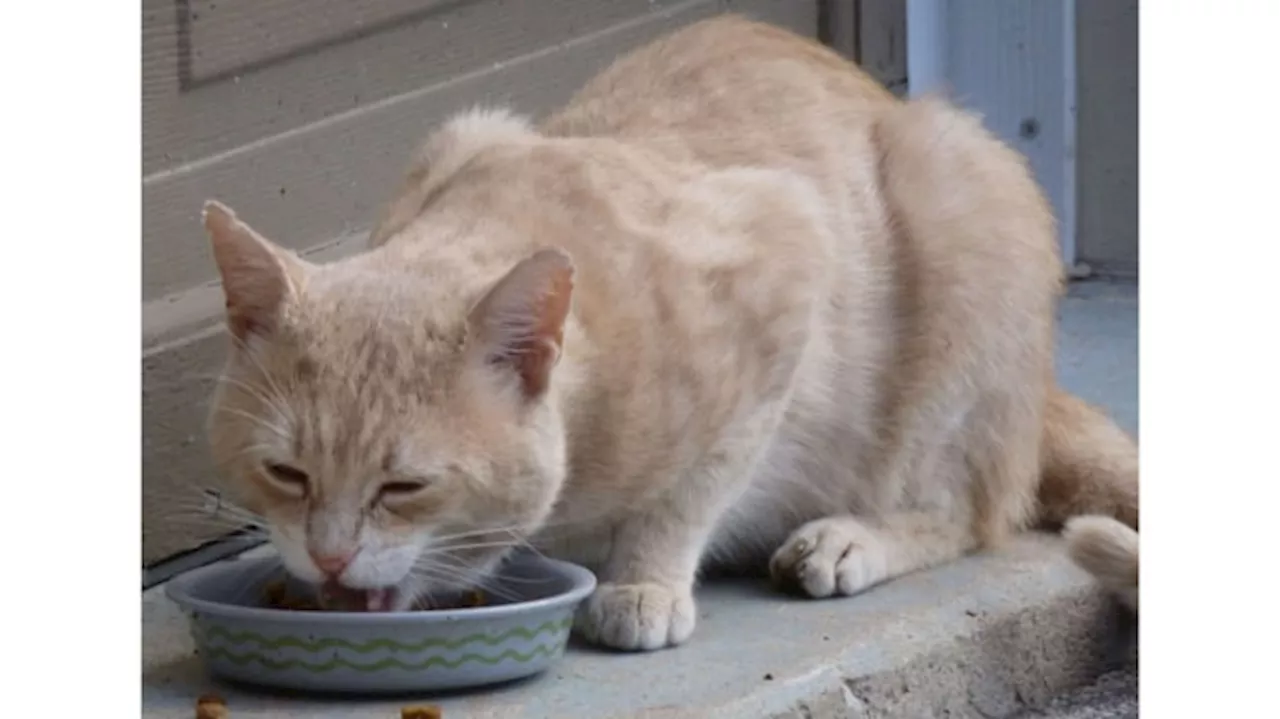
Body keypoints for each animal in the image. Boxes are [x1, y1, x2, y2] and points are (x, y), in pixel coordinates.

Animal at [202, 15, 1141, 649]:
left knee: (970, 510)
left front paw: (643, 583)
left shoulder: (787, 268)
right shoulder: (461, 132)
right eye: (286, 473)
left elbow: (691, 490)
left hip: (960, 212)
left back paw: (852, 536)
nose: (327, 559)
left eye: (405, 486)